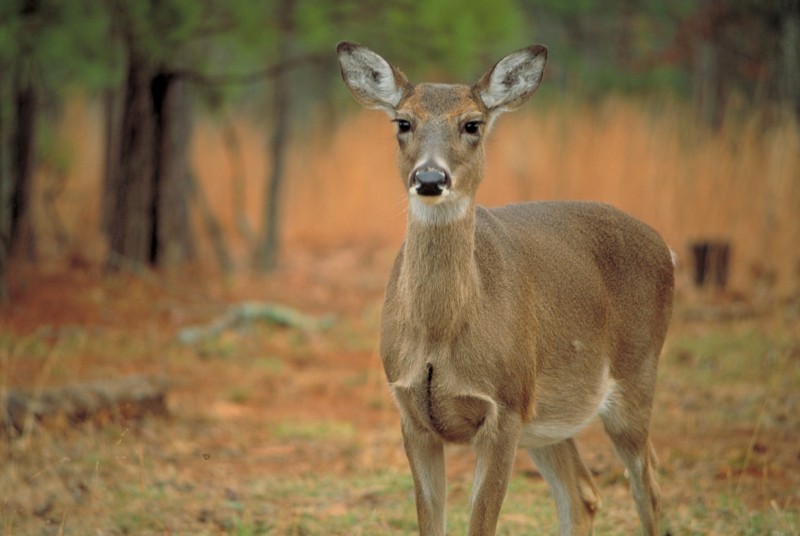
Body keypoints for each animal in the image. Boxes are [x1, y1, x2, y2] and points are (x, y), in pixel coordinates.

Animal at [336, 42, 676, 536]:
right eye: (403, 122)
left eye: (472, 124)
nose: (430, 179)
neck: (440, 335)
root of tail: (666, 247)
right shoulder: (411, 415)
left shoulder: (505, 407)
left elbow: (481, 524)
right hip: (549, 416)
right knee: (584, 493)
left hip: (635, 377)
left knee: (647, 487)